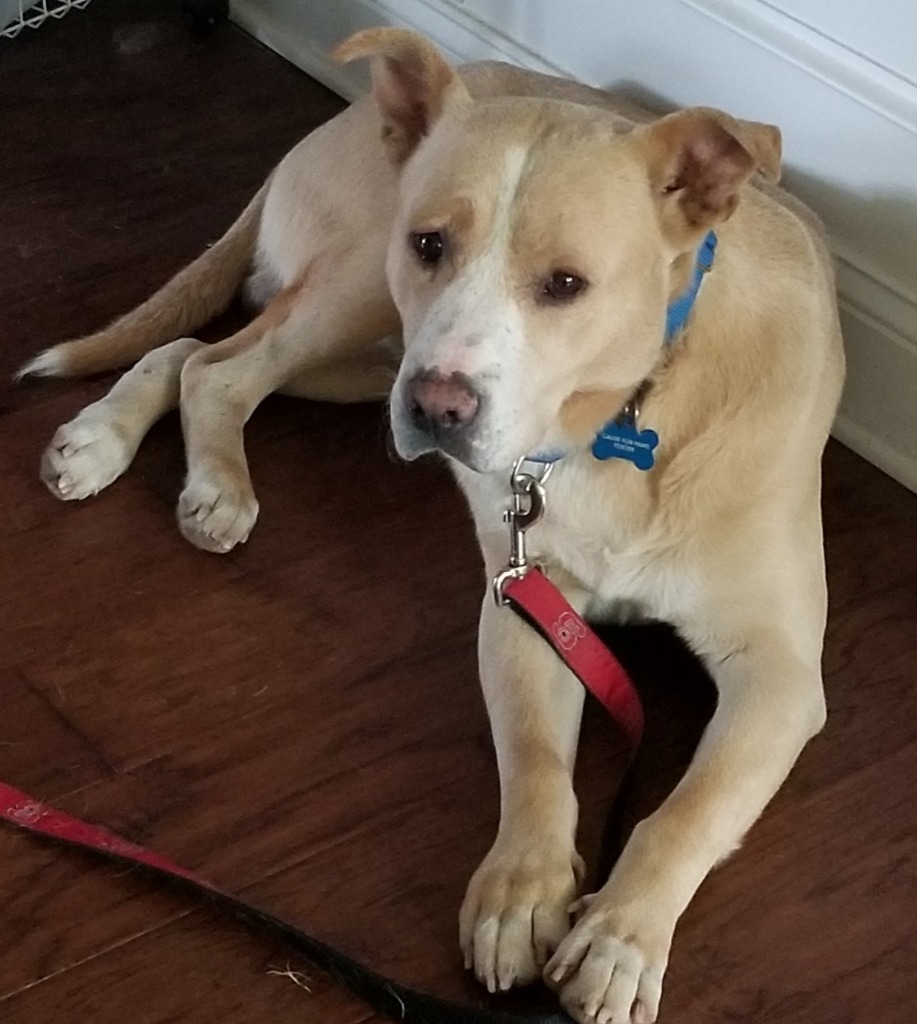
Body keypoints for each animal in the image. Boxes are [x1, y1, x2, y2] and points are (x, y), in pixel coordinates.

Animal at [17, 29, 843, 1024]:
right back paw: (183, 470)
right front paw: (522, 893)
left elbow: (689, 810)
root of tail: (329, 129)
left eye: (566, 284)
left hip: (373, 361)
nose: (440, 407)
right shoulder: (523, 605)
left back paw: (120, 442)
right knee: (218, 368)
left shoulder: (778, 675)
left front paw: (619, 934)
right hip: (364, 305)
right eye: (430, 243)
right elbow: (533, 759)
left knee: (191, 357)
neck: (622, 413)